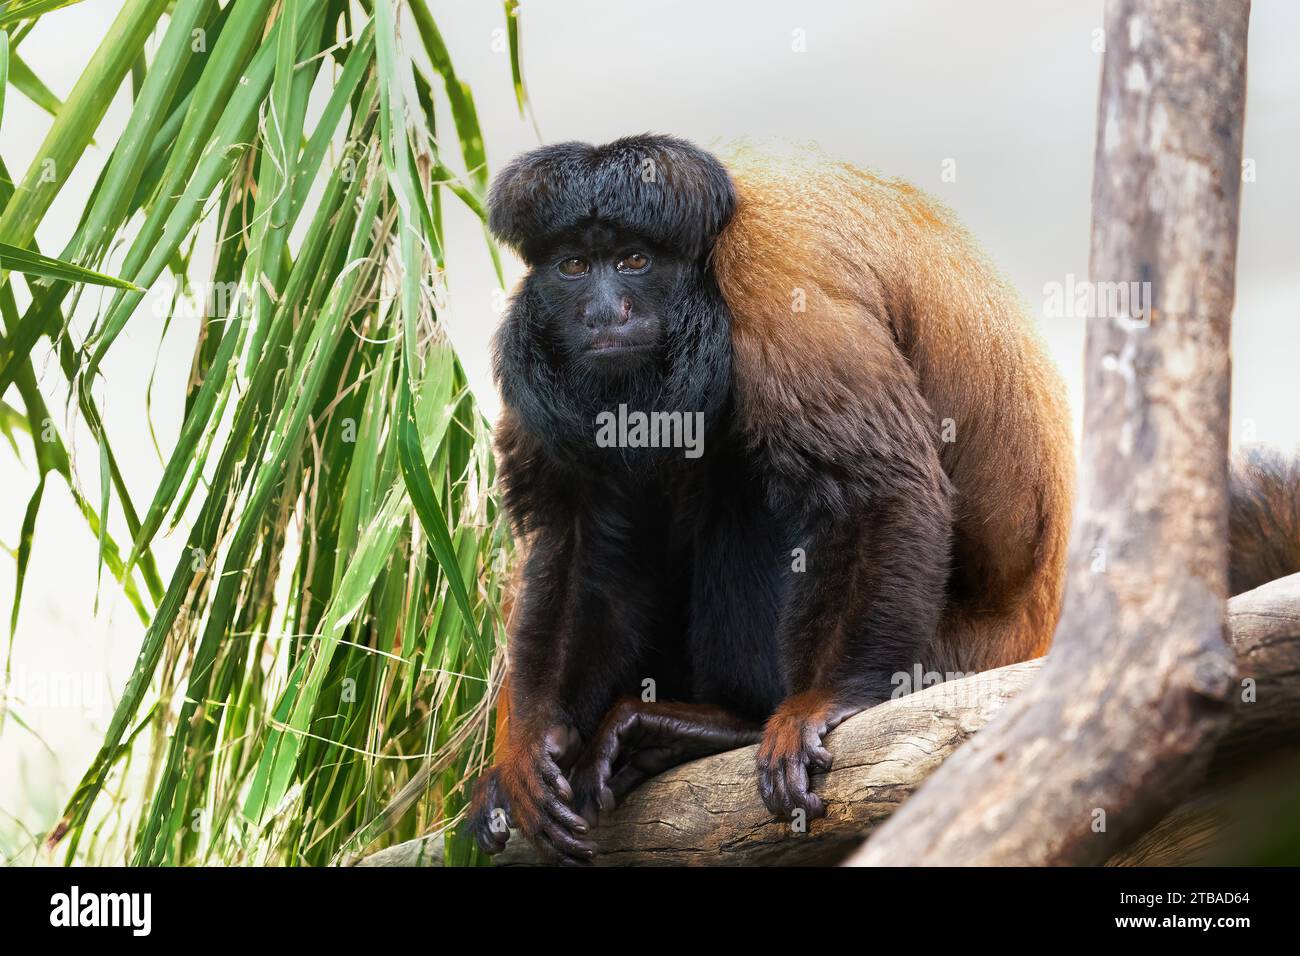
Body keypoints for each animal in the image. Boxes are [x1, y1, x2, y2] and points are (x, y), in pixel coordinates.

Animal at [465, 134, 1300, 868]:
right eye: (576, 266)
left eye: (635, 261)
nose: (606, 312)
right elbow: (578, 537)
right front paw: (529, 743)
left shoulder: (773, 281)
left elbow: (879, 483)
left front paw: (819, 703)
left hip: (953, 651)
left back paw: (720, 724)